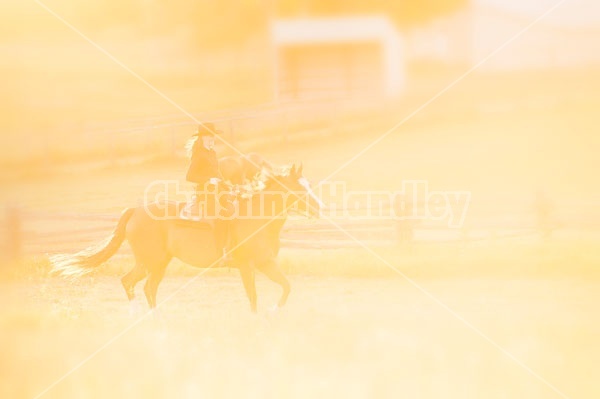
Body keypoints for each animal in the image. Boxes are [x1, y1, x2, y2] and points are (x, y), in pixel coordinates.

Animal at [51, 164, 324, 314]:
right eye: (299, 188)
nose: (320, 208)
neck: (257, 218)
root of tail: (136, 211)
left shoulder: (265, 263)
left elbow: (286, 286)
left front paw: (273, 312)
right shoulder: (246, 266)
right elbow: (253, 295)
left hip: (157, 263)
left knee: (142, 286)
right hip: (151, 262)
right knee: (134, 284)